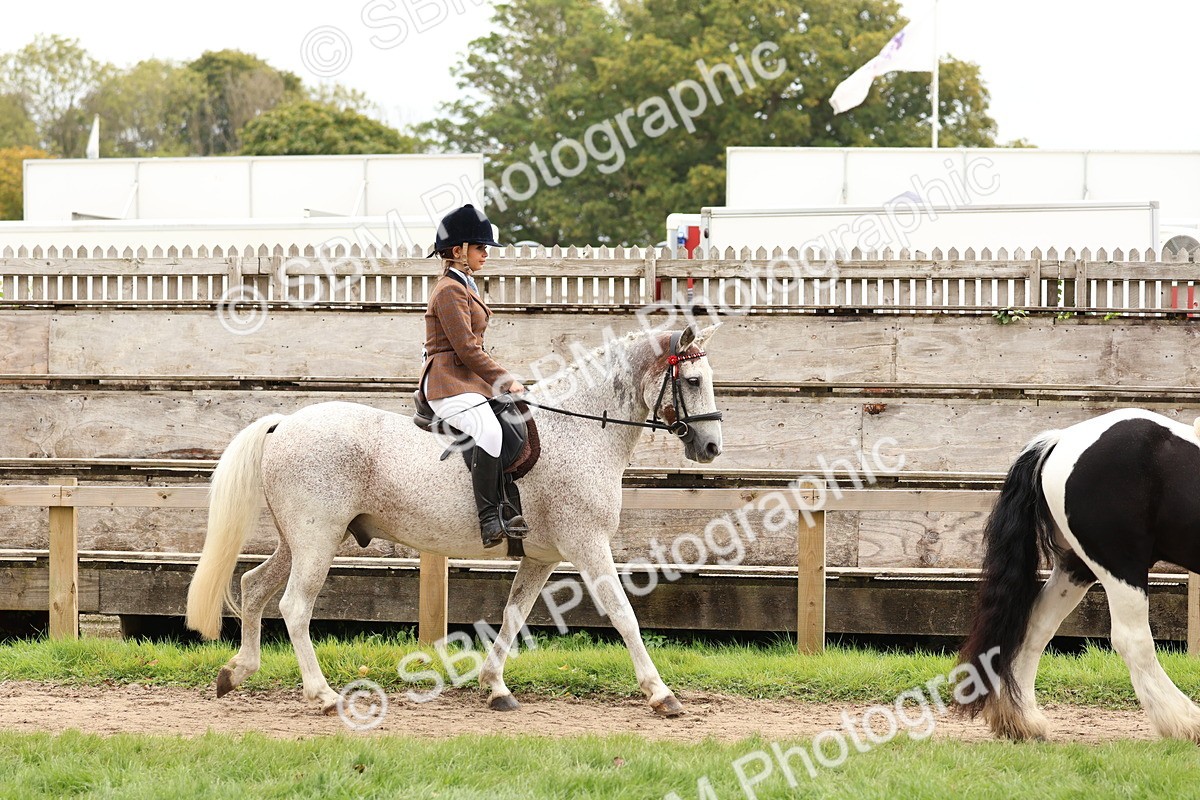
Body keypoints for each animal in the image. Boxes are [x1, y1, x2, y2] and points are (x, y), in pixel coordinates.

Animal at [184, 323, 724, 717]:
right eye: (693, 381)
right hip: (317, 540)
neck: (580, 429)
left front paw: (495, 687)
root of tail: (284, 424)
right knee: (295, 606)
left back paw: (236, 672)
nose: (711, 447)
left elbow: (514, 614)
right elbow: (624, 614)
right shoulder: (588, 545)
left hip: (296, 540)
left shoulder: (542, 557)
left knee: (253, 586)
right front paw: (661, 694)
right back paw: (323, 695)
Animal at [958, 407, 1200, 741]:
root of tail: (1060, 439)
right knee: (1133, 640)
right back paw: (1184, 722)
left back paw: (1023, 719)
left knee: (1037, 625)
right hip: (1120, 566)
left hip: (1076, 568)